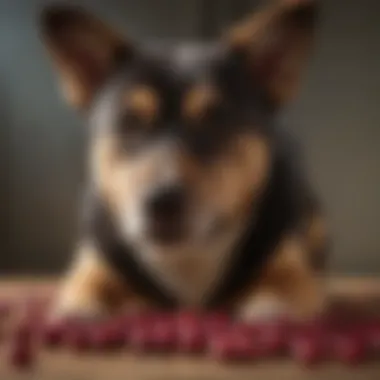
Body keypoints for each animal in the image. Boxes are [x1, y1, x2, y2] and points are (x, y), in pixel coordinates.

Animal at [39, 0, 330, 322]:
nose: (162, 203)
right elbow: (80, 299)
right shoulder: (93, 266)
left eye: (214, 121)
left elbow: (279, 295)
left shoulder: (293, 272)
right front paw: (89, 313)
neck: (186, 258)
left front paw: (265, 309)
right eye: (131, 122)